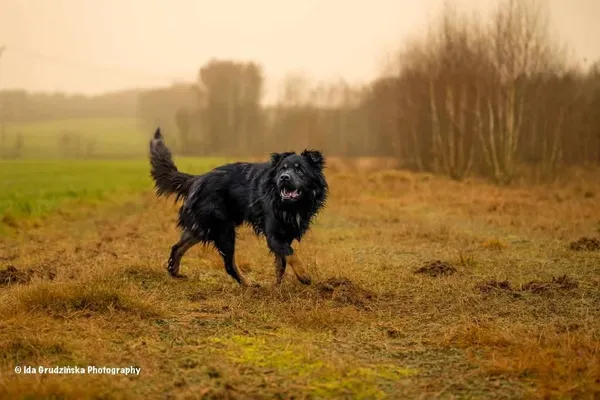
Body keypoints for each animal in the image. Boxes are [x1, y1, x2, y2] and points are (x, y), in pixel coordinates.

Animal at [149, 129, 328, 288]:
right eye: (282, 169)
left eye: (299, 169)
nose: (284, 178)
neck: (290, 204)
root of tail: (197, 179)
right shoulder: (274, 236)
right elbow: (291, 254)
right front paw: (304, 275)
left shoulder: (286, 235)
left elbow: (281, 264)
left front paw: (277, 287)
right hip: (223, 230)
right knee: (229, 264)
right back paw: (247, 283)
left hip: (203, 227)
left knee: (178, 247)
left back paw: (174, 271)